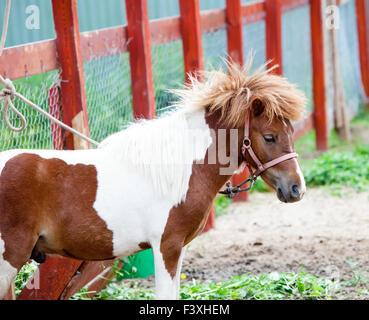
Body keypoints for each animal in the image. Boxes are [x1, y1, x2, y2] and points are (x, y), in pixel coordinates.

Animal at [0, 59, 304, 300]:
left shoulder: (177, 249)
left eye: (291, 132)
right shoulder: (166, 247)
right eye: (269, 137)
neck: (178, 168)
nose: (296, 189)